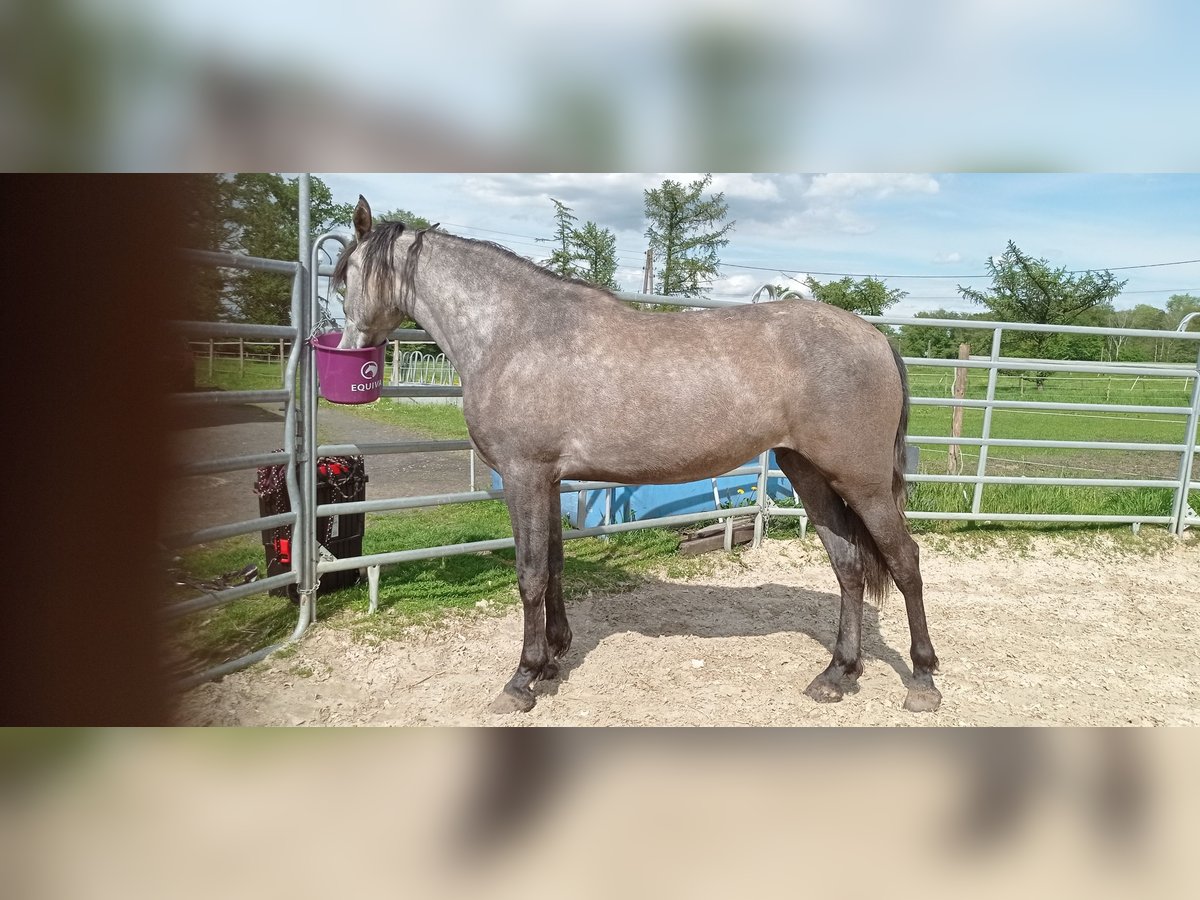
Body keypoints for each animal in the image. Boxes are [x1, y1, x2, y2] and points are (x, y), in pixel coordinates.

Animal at [333, 199, 940, 720]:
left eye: (344, 278)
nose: (348, 348)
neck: (515, 333)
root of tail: (876, 338)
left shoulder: (524, 476)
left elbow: (530, 575)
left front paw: (522, 679)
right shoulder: (550, 481)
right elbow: (554, 567)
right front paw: (553, 659)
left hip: (861, 481)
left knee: (905, 561)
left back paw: (922, 680)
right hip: (808, 472)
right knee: (850, 565)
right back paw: (837, 675)